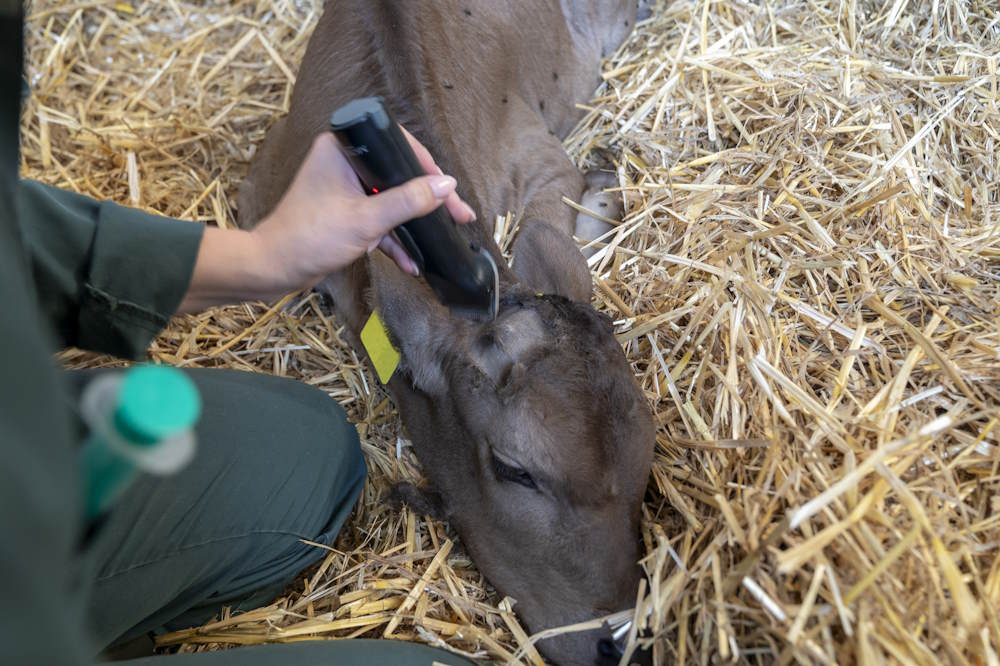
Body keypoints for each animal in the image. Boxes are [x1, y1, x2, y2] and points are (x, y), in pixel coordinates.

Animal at [237, 2, 652, 660]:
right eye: (513, 468)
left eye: (648, 450)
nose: (620, 642)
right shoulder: (265, 193)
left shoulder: (542, 161)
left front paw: (603, 194)